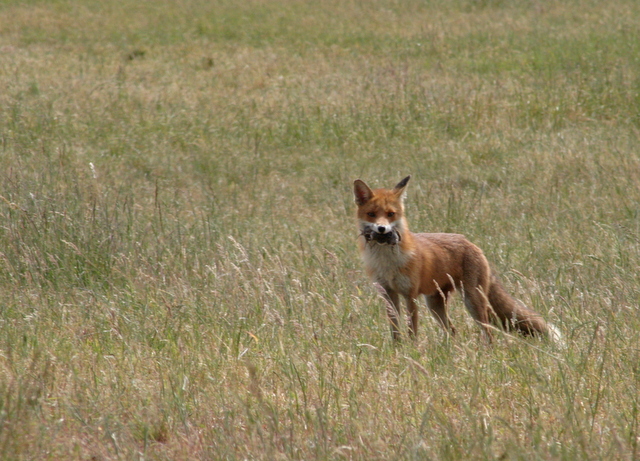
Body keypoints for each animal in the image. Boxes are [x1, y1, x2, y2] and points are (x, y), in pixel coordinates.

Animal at [354, 175, 557, 342]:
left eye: (390, 214)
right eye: (372, 214)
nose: (382, 230)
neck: (387, 262)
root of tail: (469, 241)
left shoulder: (410, 295)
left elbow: (412, 330)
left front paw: (413, 351)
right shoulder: (388, 294)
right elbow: (395, 330)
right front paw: (398, 350)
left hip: (472, 301)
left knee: (488, 332)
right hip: (435, 304)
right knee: (453, 331)